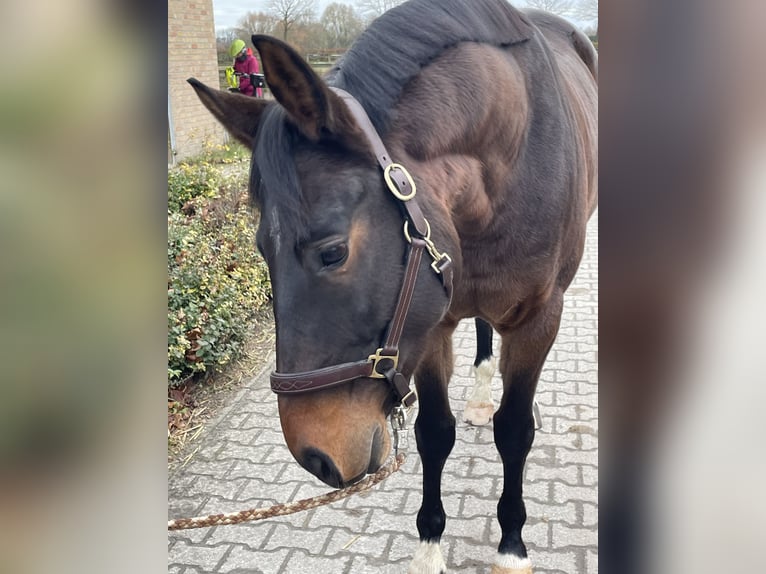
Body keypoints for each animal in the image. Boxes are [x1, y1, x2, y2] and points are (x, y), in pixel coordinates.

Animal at [189, 0, 596, 572]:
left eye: (332, 251)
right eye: (260, 251)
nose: (316, 457)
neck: (511, 154)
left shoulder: (539, 319)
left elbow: (515, 431)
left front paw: (512, 545)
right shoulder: (430, 323)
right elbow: (434, 433)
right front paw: (429, 546)